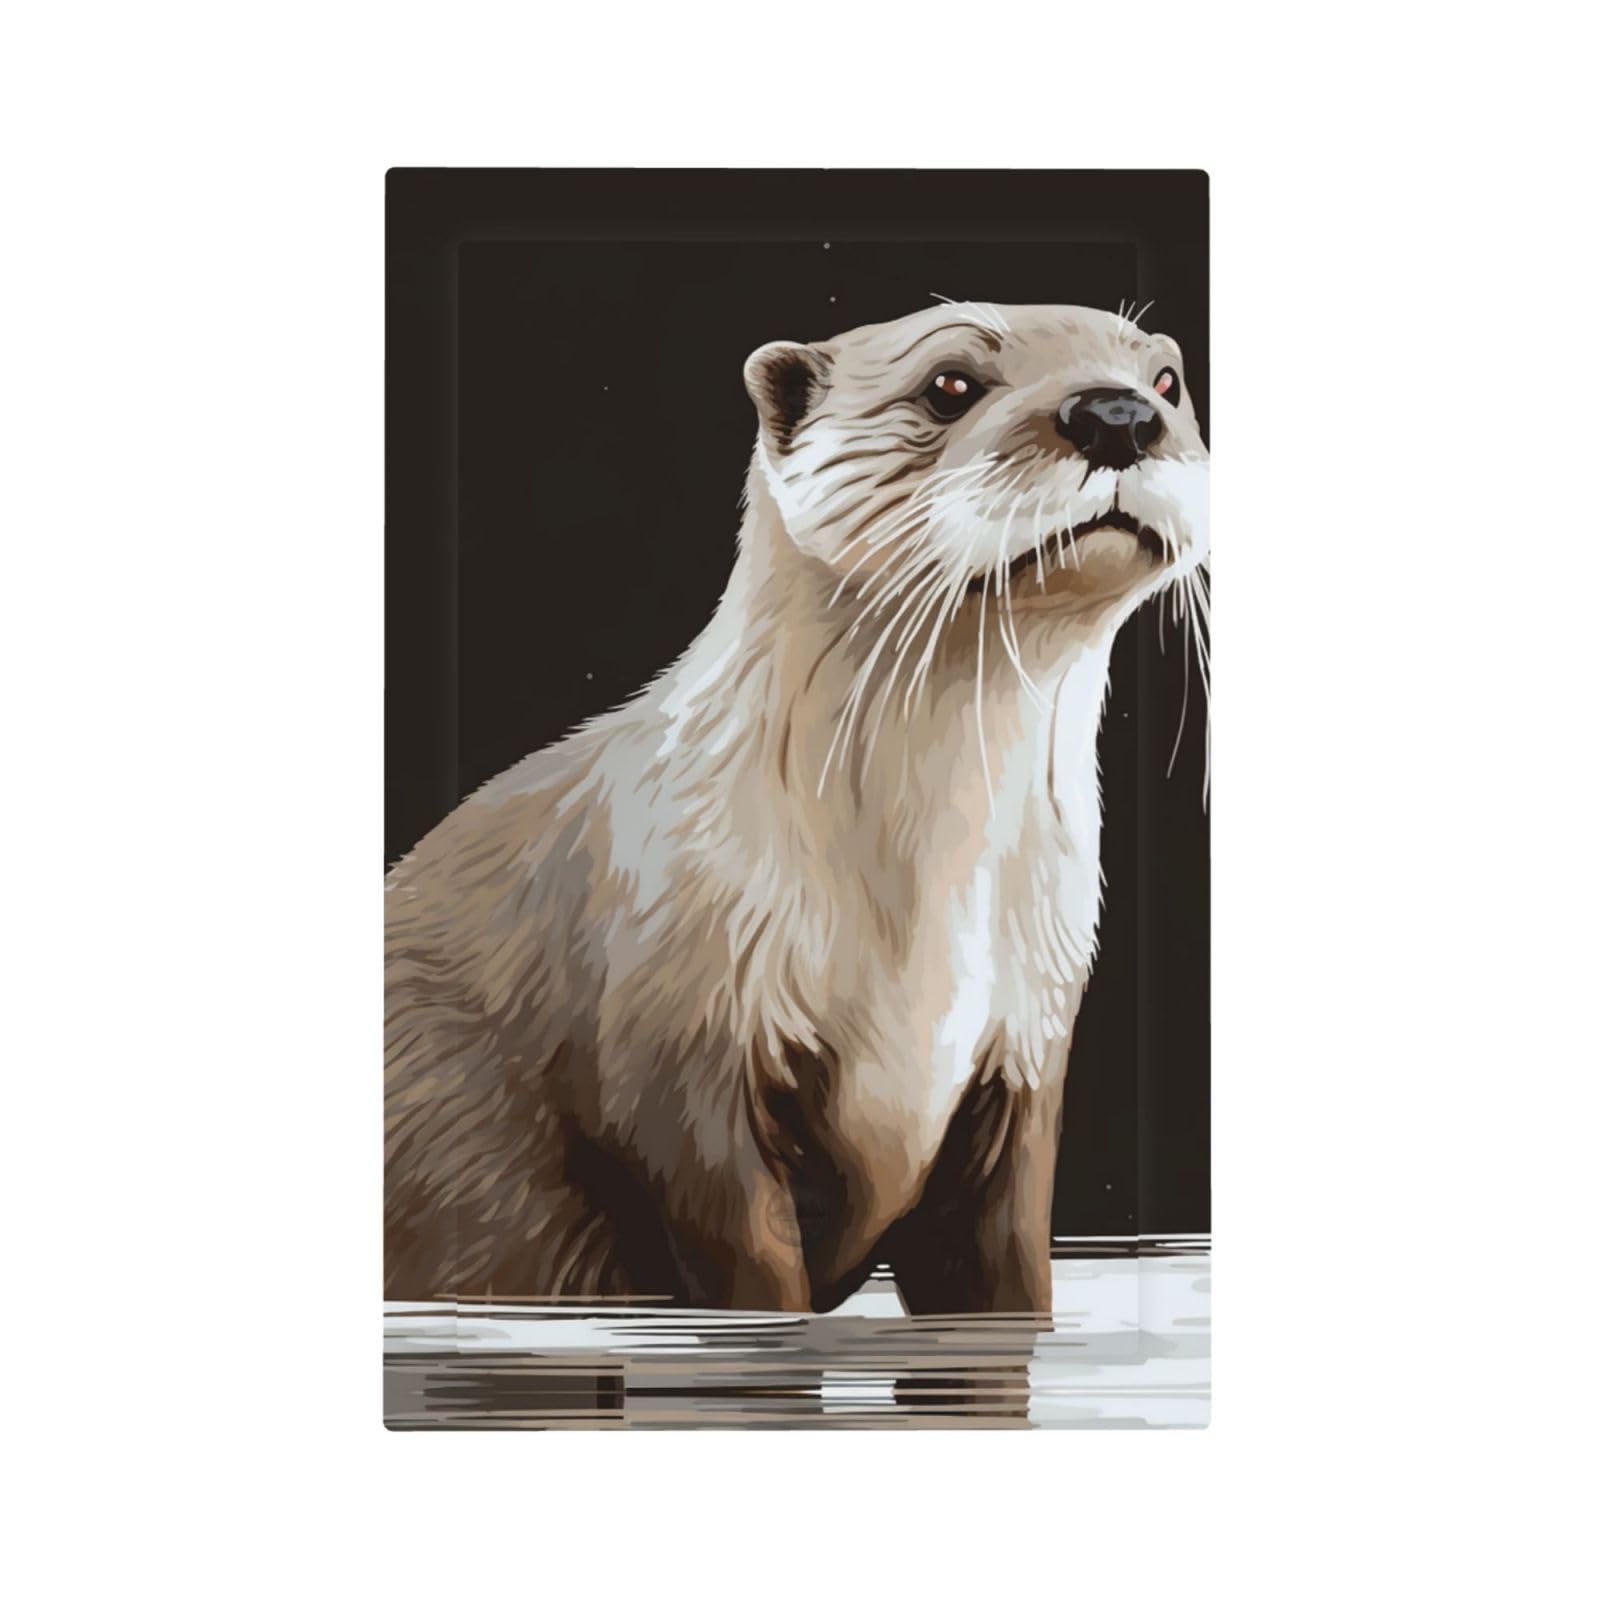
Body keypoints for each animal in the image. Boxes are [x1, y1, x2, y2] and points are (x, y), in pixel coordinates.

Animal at [385, 301, 1209, 1313]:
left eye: (1167, 379)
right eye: (950, 383)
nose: (1117, 415)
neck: (918, 916)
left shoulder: (1024, 1054)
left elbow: (1002, 1272)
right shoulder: (683, 1063)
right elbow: (751, 1271)